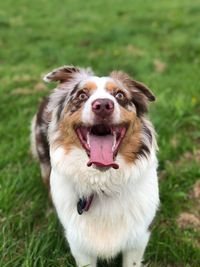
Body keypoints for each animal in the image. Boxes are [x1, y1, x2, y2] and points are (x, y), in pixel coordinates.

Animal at [30, 66, 159, 267]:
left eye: (120, 95)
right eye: (82, 95)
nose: (103, 105)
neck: (103, 182)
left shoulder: (138, 239)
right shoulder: (79, 244)